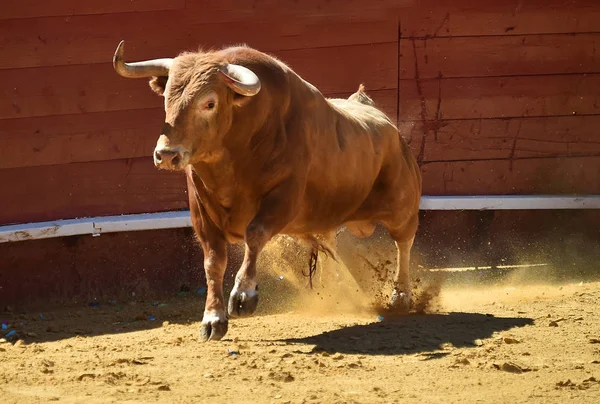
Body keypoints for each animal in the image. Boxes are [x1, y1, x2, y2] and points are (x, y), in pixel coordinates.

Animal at [112, 41, 422, 340]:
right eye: (167, 99)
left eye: (209, 103)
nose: (166, 154)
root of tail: (388, 125)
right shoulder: (201, 211)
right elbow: (213, 261)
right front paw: (213, 319)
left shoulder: (283, 198)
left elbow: (255, 234)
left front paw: (243, 296)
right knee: (332, 246)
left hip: (403, 210)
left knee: (403, 243)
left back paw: (400, 297)